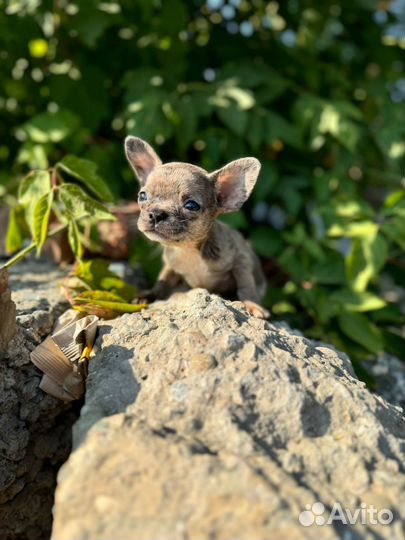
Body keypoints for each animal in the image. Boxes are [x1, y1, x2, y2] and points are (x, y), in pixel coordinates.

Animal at [123, 136, 268, 316]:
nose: (156, 214)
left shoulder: (241, 260)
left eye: (191, 206)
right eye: (142, 196)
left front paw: (252, 304)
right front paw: (149, 294)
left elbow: (246, 285)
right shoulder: (170, 265)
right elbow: (162, 281)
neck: (188, 251)